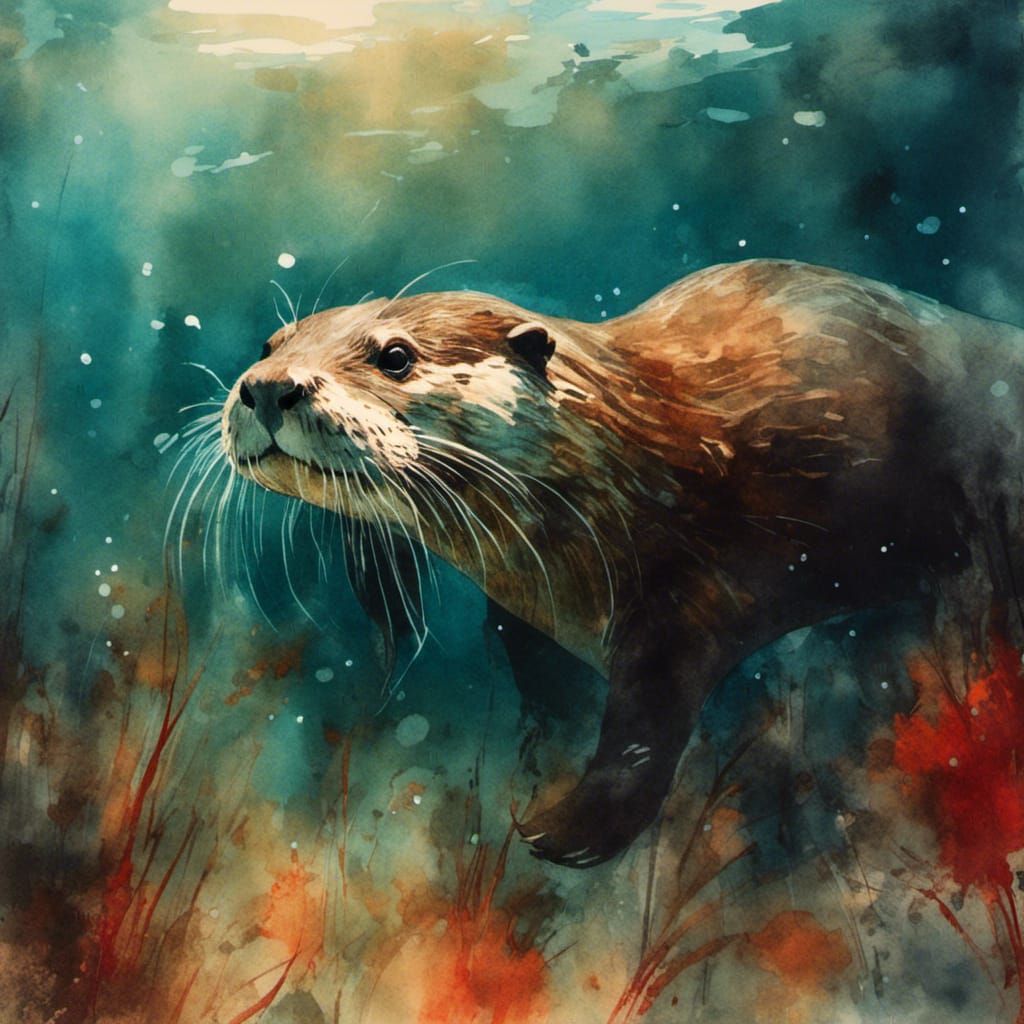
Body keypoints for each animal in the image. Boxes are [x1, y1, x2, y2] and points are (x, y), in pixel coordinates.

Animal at [219, 258, 1024, 867]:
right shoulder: (526, 609)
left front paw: (562, 832)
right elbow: (543, 685)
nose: (268, 386)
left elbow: (643, 733)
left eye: (395, 356)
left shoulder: (686, 597)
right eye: (270, 341)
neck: (643, 473)